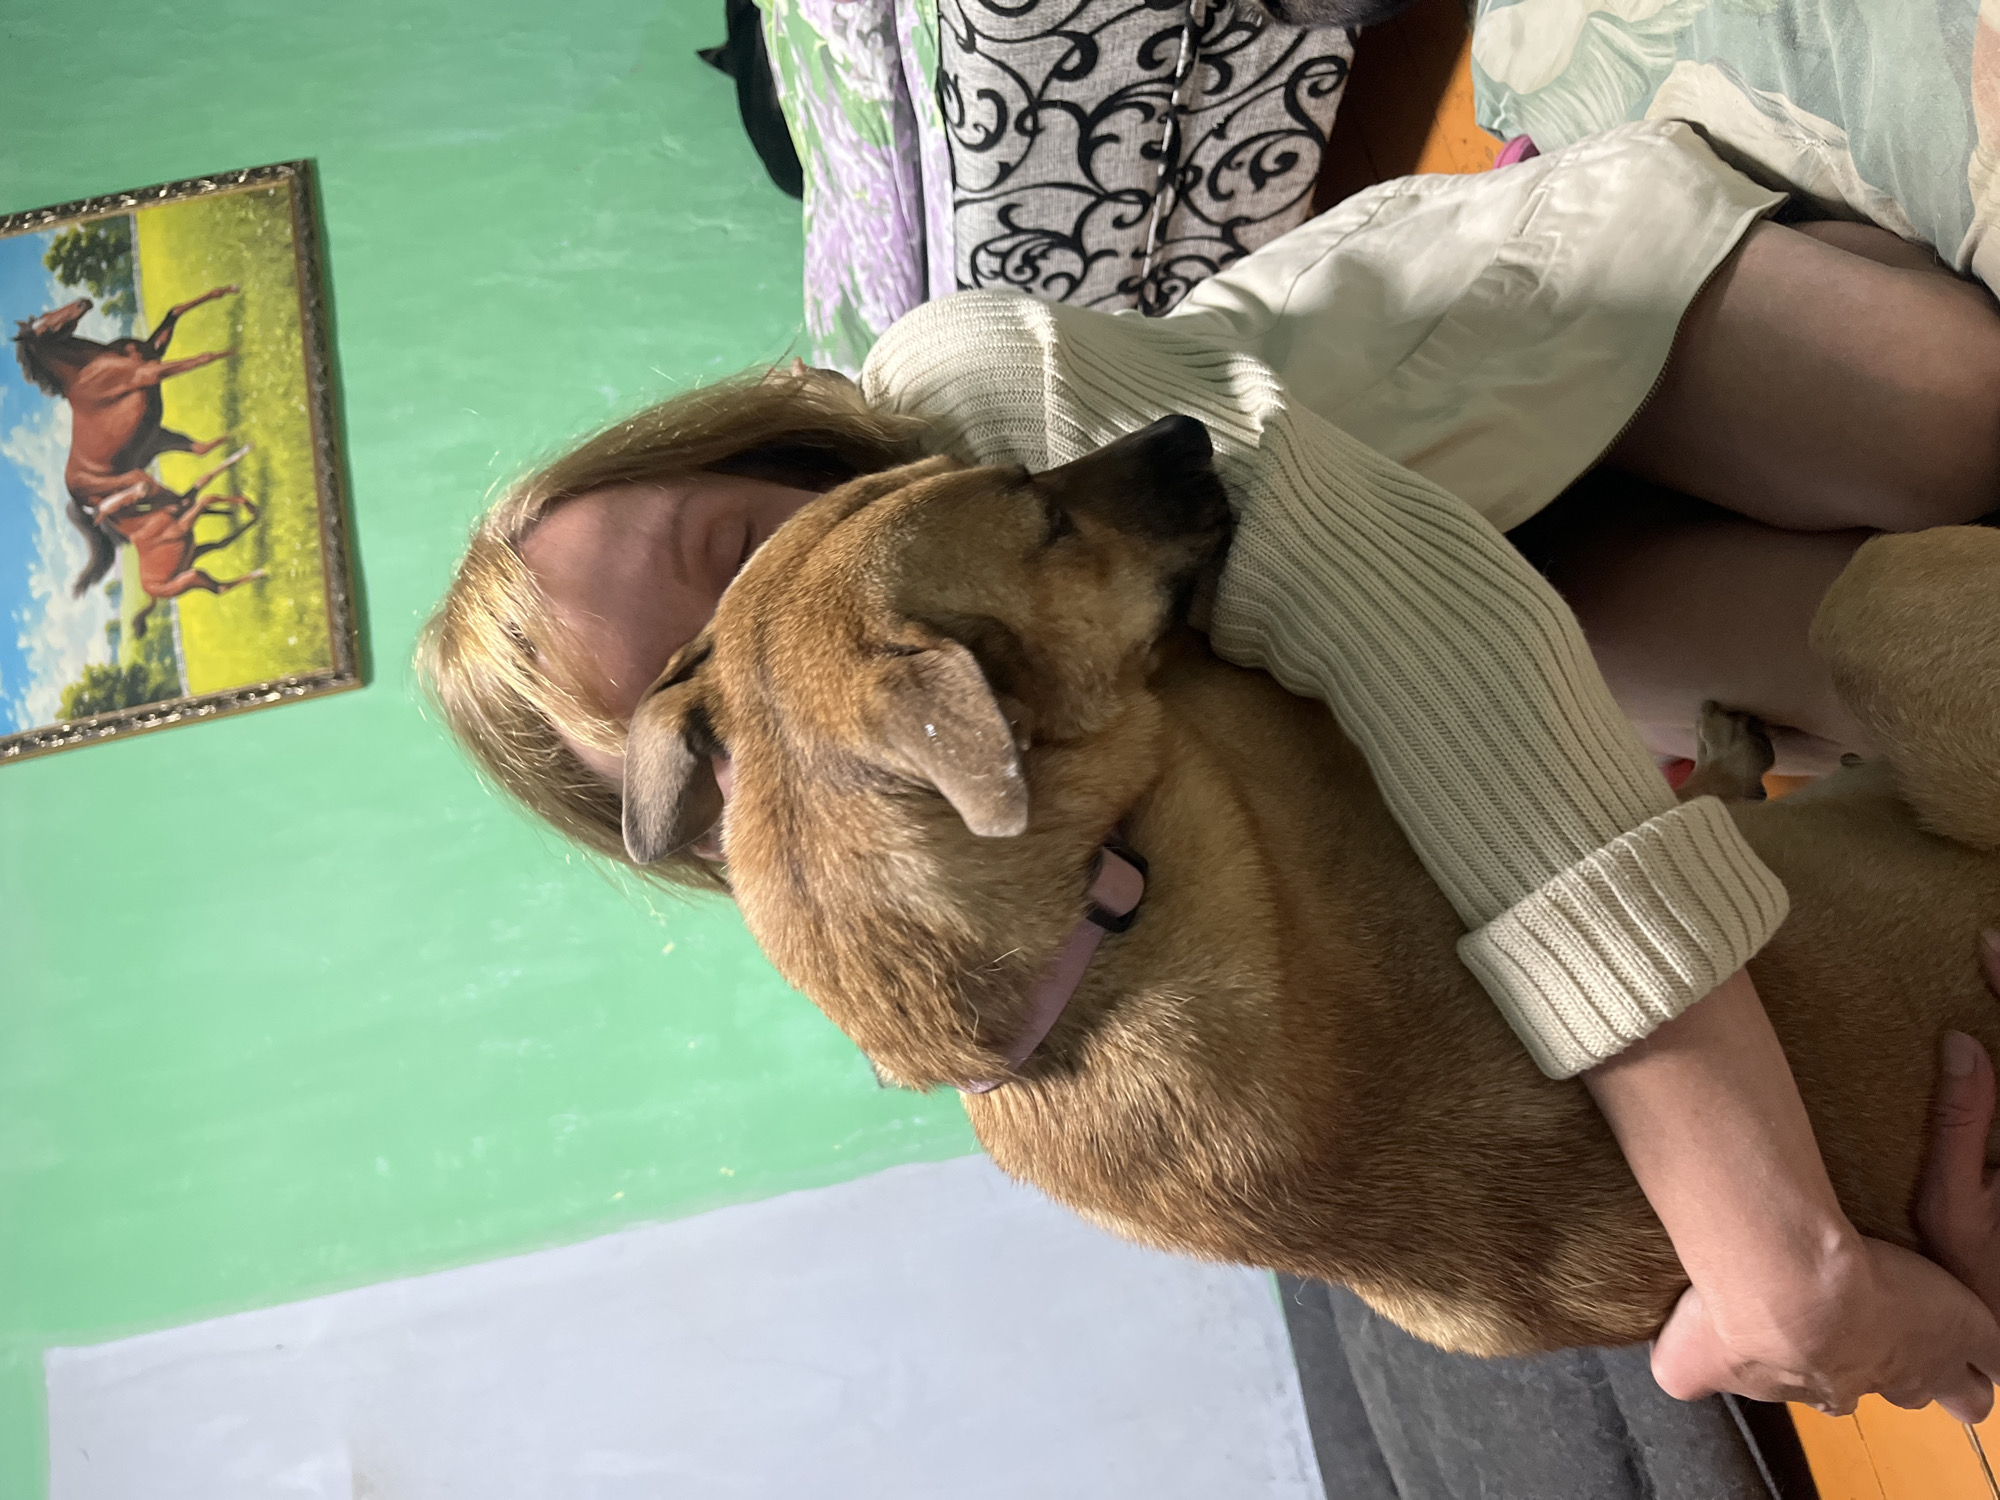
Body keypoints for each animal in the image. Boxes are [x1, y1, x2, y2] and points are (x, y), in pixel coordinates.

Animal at [11, 286, 239, 596]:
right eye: (44, 327)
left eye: (44, 317)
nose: (83, 302)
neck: (91, 367)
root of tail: (73, 493)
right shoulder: (151, 372)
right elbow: (201, 358)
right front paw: (239, 349)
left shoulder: (153, 352)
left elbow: (175, 311)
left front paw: (229, 291)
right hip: (137, 474)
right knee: (175, 500)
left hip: (159, 439)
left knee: (196, 463)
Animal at [91, 445, 266, 637]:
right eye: (111, 506)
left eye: (116, 497)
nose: (143, 487)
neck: (145, 524)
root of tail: (151, 593)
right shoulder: (182, 525)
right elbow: (207, 498)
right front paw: (247, 505)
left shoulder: (185, 504)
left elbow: (206, 479)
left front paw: (247, 450)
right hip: (189, 577)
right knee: (220, 588)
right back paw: (262, 571)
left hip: (193, 553)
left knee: (221, 544)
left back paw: (254, 520)